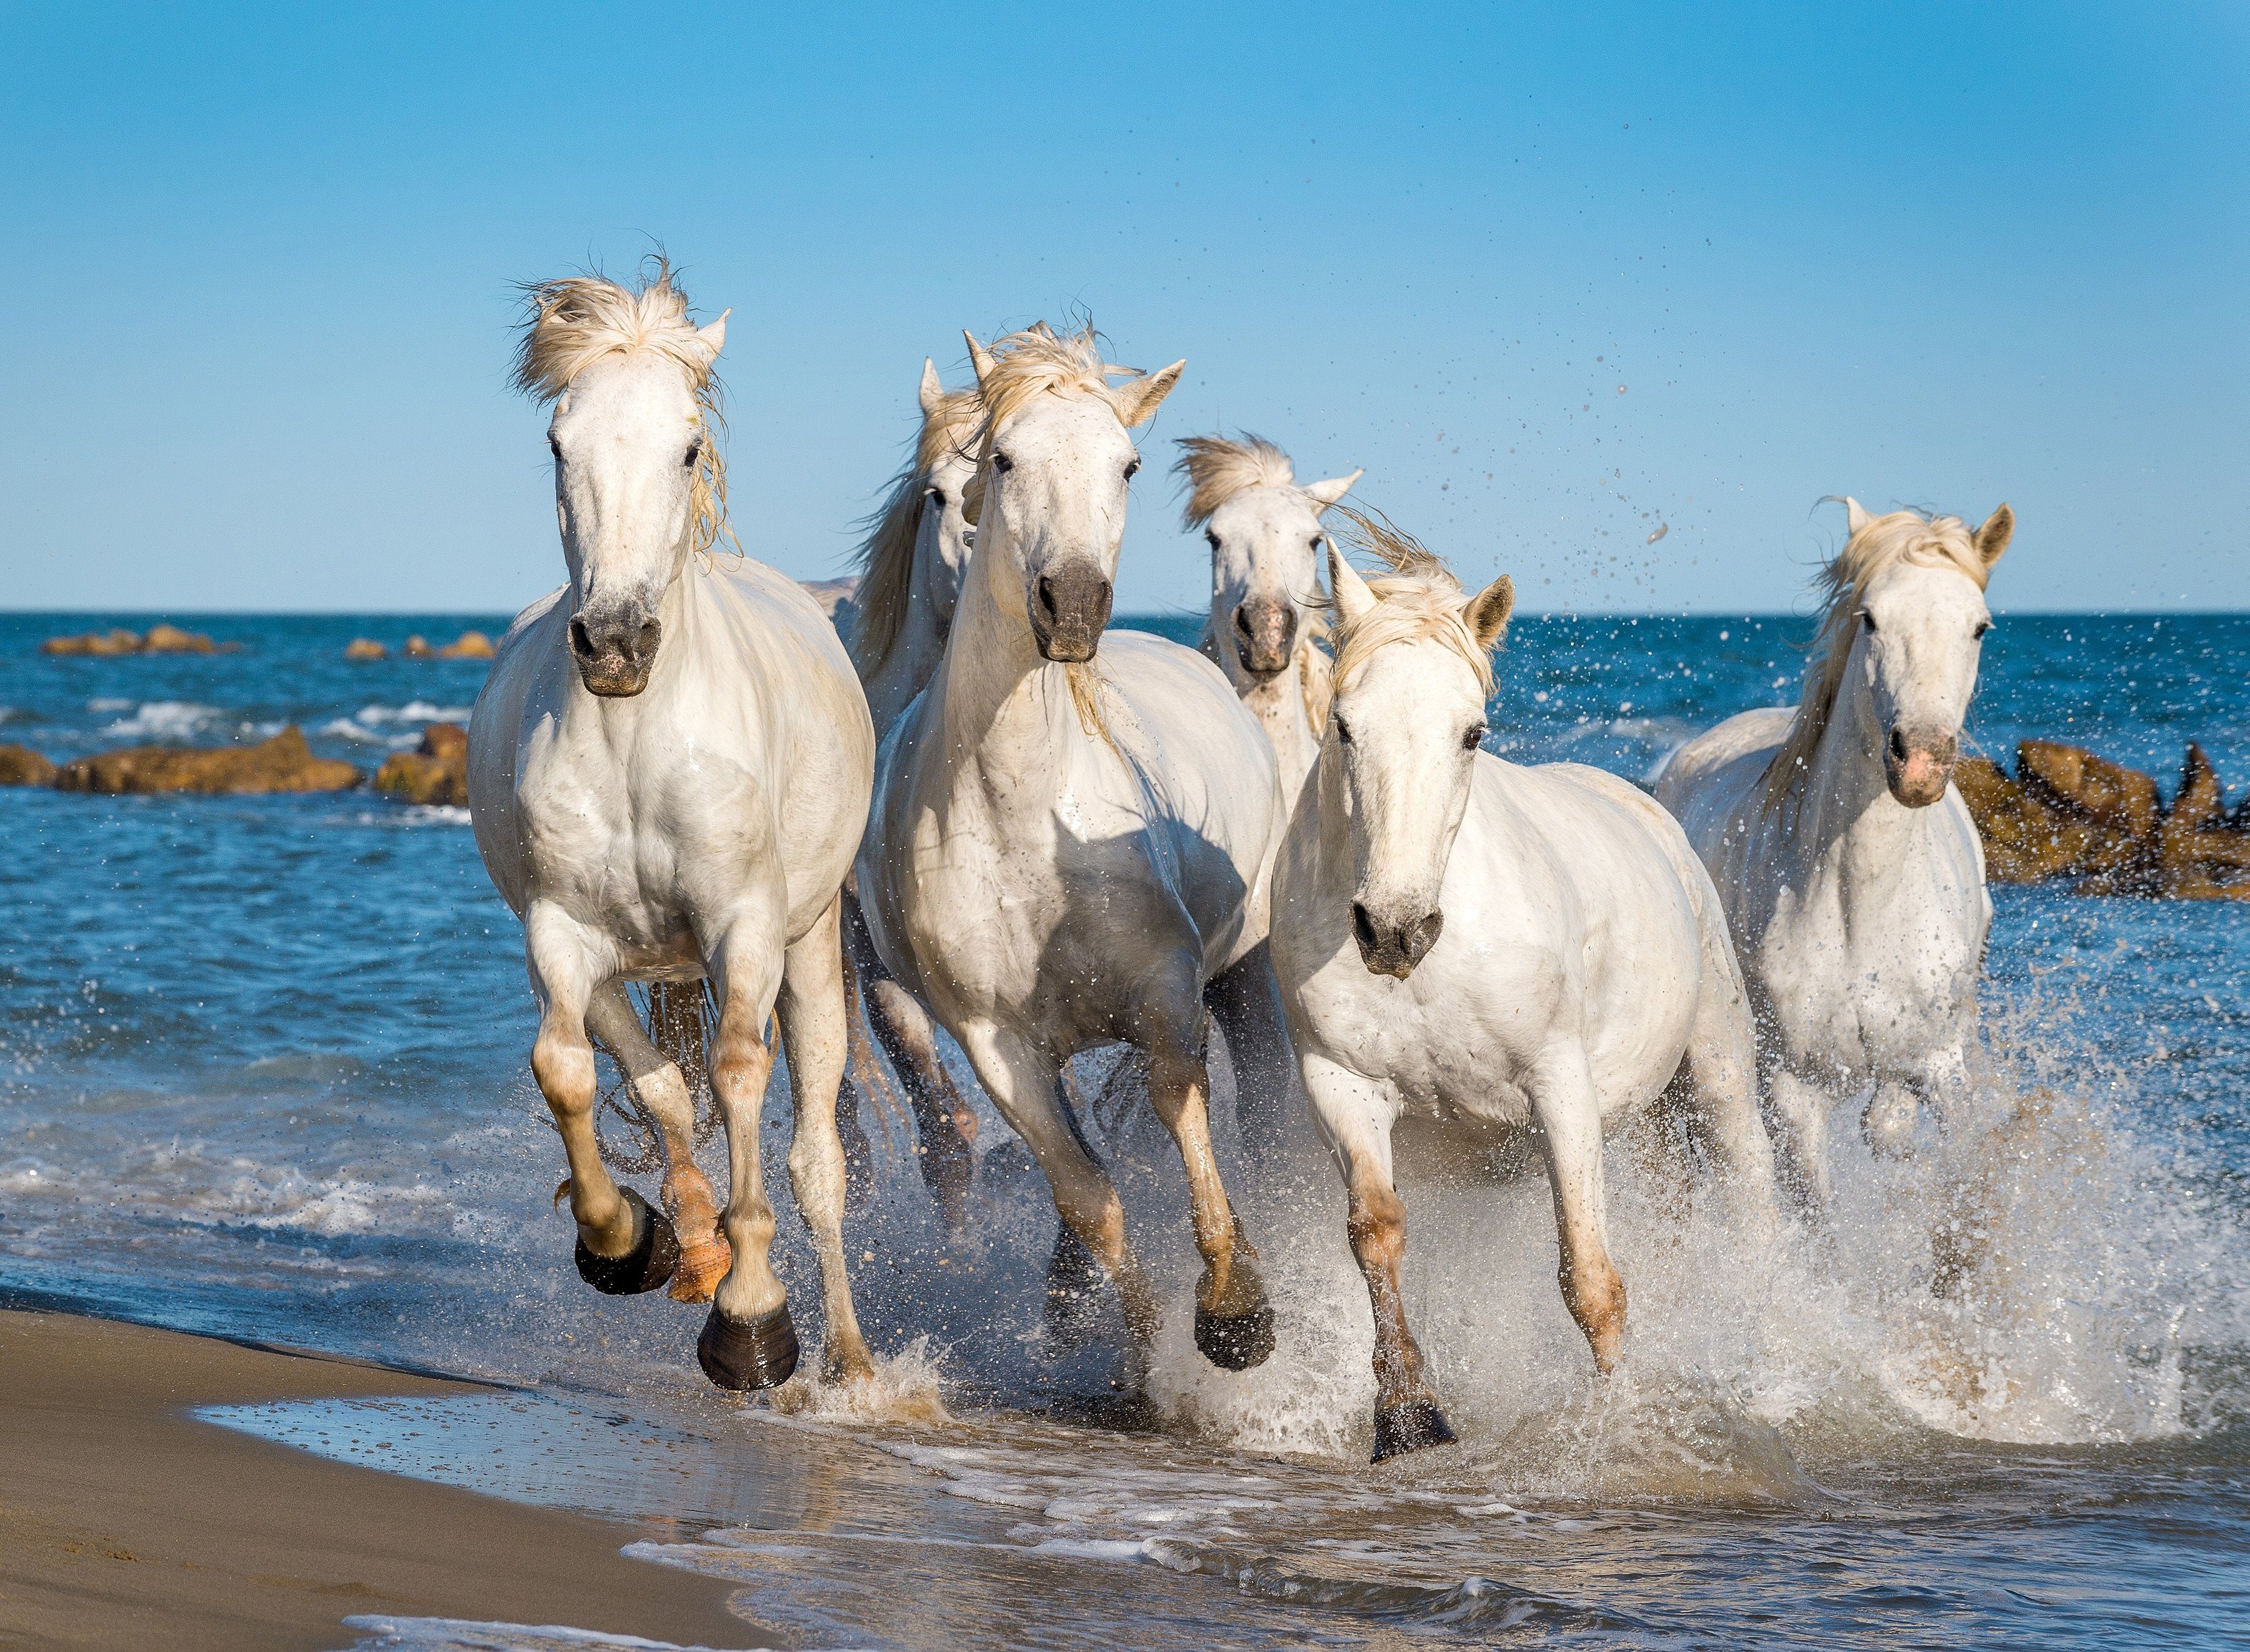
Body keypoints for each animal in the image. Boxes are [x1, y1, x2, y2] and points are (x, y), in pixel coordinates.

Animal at [470, 272, 872, 1395]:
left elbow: (740, 1072)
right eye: (558, 442)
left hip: (809, 943)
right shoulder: (560, 932)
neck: (636, 736)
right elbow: (574, 1071)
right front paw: (625, 1241)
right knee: (656, 1087)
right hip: (625, 962)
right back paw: (688, 1244)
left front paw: (754, 1319)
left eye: (688, 446)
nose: (615, 642)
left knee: (815, 1152)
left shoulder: (745, 925)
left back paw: (851, 1359)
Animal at [859, 319, 1296, 1368]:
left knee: (1257, 1109)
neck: (1022, 814)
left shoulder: (1167, 989)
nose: (1074, 605)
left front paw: (1235, 1308)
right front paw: (1138, 1353)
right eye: (1004, 459)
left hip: (1246, 970)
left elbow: (1179, 1101)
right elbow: (1089, 1193)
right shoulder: (1000, 1044)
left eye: (1127, 464)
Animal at [1278, 518, 1782, 1458]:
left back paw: (1769, 1369)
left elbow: (1590, 1277)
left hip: (1719, 1072)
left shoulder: (1559, 1086)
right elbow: (1376, 1232)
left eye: (1473, 732)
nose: (1395, 929)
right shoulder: (1341, 1083)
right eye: (1345, 725)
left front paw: (1620, 1425)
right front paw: (1407, 1416)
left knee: (1751, 1202)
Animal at [1665, 497, 2016, 1206]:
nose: (1922, 763)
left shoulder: (1943, 1064)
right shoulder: (1793, 1091)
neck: (1863, 906)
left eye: (1980, 628)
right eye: (1871, 618)